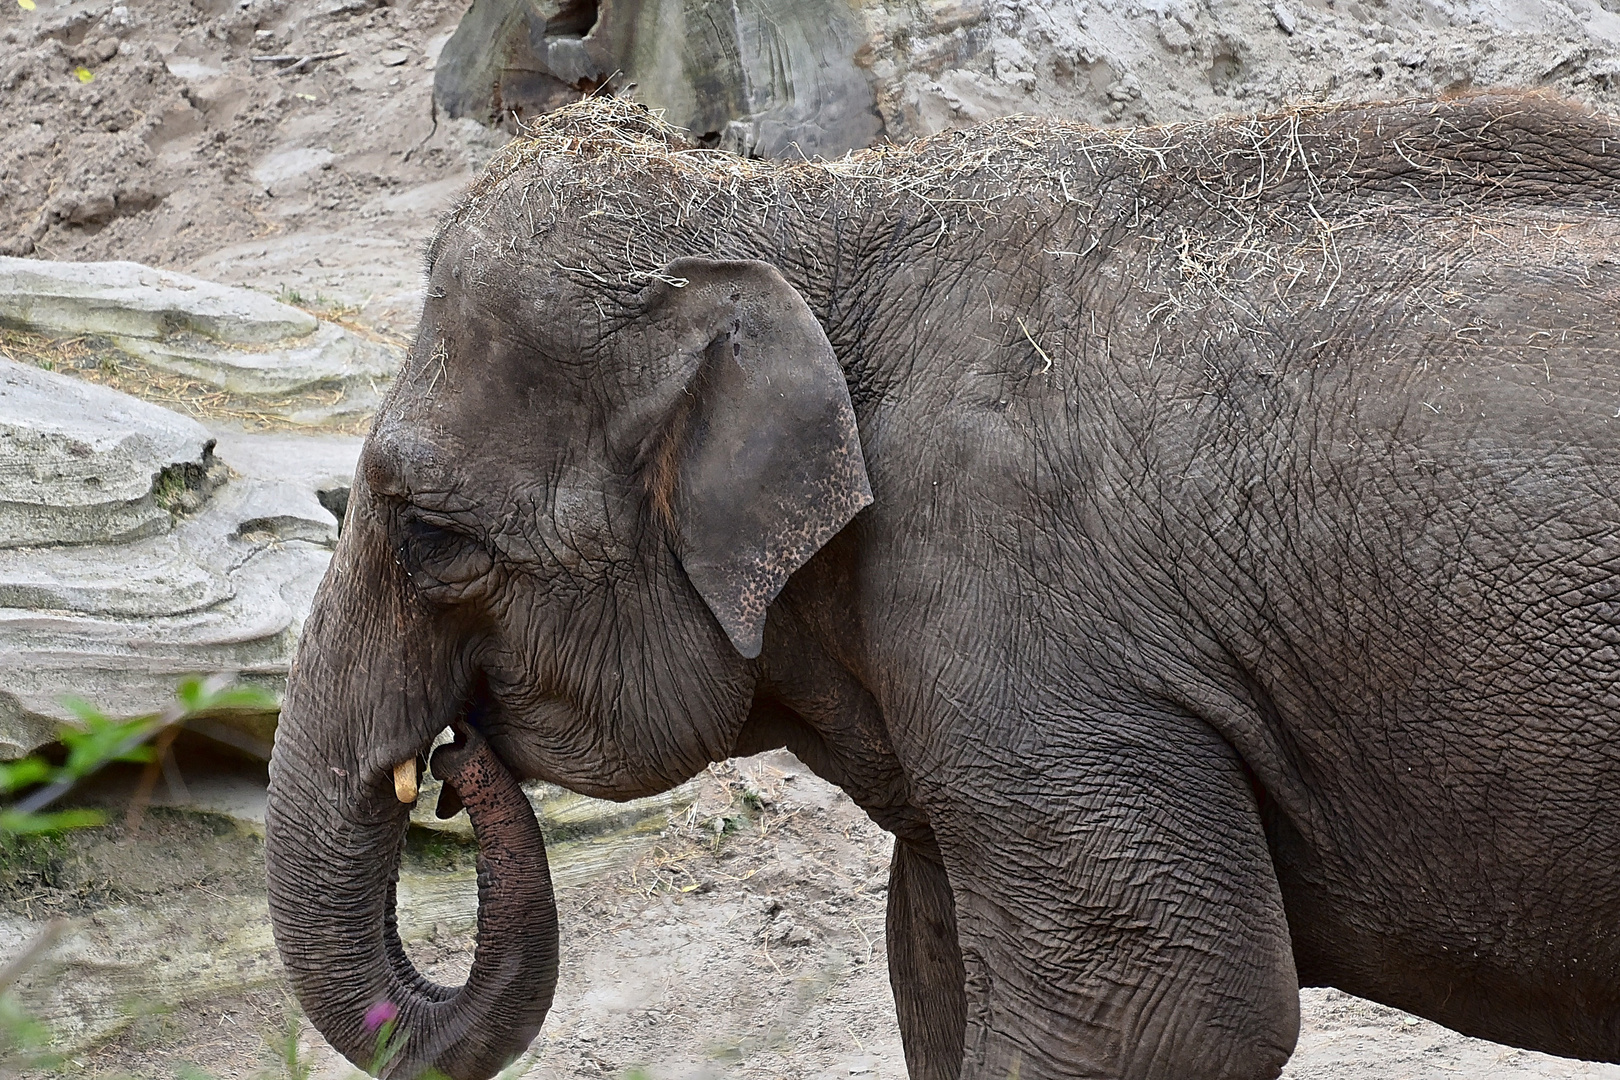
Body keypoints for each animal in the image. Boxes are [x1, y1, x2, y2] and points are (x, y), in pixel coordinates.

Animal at [265, 95, 1620, 1080]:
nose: (454, 759)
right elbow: (932, 962)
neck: (817, 213)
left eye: (431, 536)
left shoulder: (1024, 619)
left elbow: (1166, 1017)